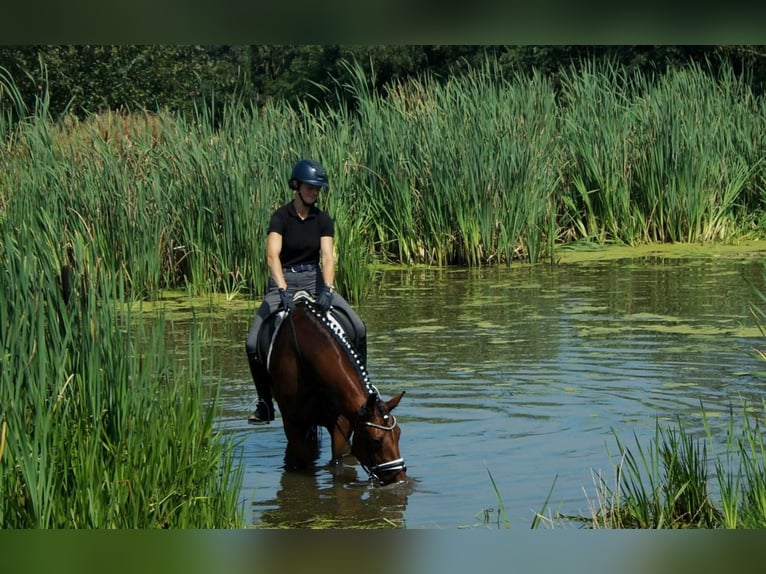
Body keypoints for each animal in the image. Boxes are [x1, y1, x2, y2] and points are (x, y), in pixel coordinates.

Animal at [260, 292, 408, 486]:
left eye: (398, 434)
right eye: (376, 441)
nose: (400, 479)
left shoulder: (342, 422)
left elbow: (336, 463)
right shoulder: (293, 423)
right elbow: (301, 465)